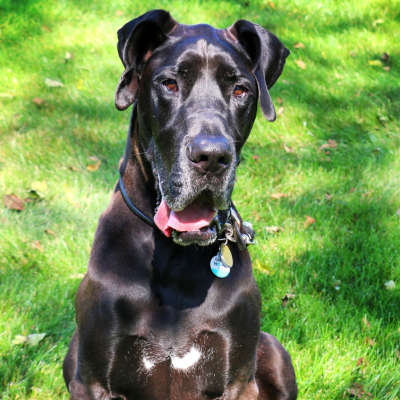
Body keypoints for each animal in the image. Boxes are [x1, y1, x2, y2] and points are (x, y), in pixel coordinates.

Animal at [63, 9, 296, 400]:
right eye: (169, 84)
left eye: (241, 90)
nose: (211, 156)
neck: (172, 256)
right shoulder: (92, 381)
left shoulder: (238, 382)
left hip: (275, 351)